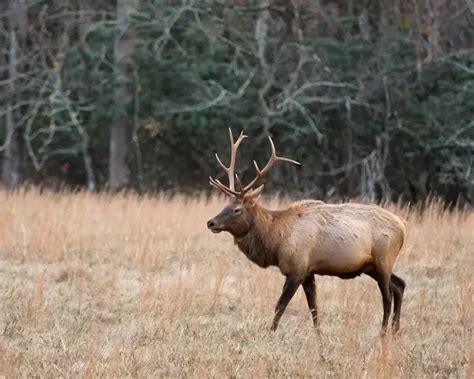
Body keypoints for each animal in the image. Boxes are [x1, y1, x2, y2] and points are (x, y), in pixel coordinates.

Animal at [207, 129, 408, 334]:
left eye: (237, 209)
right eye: (226, 205)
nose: (211, 222)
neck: (276, 242)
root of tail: (403, 226)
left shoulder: (297, 269)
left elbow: (280, 305)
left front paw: (270, 333)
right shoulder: (308, 272)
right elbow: (314, 308)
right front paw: (319, 335)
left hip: (384, 260)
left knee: (387, 296)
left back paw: (383, 332)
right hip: (372, 266)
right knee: (400, 285)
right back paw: (395, 329)